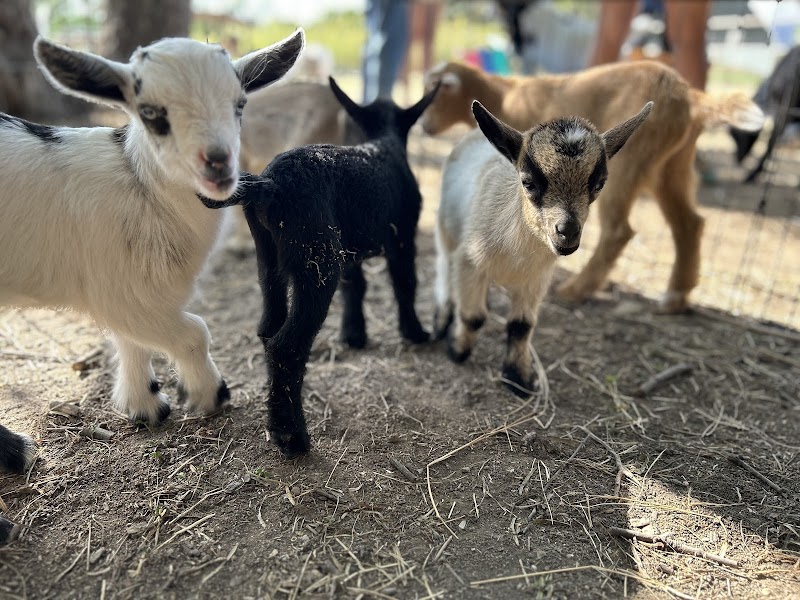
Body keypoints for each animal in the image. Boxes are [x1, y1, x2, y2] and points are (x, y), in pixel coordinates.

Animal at [0, 30, 304, 445]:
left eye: (240, 104)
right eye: (149, 113)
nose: (218, 164)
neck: (141, 187)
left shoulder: (132, 291)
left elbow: (132, 341)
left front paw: (143, 406)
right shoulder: (120, 292)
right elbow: (194, 333)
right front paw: (209, 395)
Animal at [200, 77, 439, 456]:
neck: (381, 143)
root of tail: (270, 186)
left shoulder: (349, 249)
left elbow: (355, 287)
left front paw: (354, 335)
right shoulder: (403, 235)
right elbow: (405, 283)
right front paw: (414, 332)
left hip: (272, 258)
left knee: (269, 328)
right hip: (317, 261)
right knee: (288, 346)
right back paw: (292, 437)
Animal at [422, 60, 764, 313]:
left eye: (437, 93)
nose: (424, 127)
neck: (505, 95)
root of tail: (691, 98)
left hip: (630, 163)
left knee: (619, 231)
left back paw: (574, 290)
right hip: (674, 166)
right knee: (690, 223)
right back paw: (675, 298)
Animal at [435, 101, 652, 395]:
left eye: (599, 184)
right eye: (528, 182)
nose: (567, 232)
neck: (515, 254)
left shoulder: (535, 280)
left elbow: (521, 327)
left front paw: (519, 379)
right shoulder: (469, 260)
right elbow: (473, 316)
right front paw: (457, 350)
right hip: (445, 232)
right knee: (444, 268)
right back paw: (441, 318)